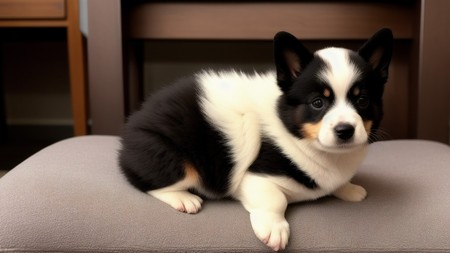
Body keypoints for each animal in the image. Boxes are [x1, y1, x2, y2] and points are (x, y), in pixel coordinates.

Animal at [119, 28, 394, 250]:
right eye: (318, 103)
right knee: (148, 183)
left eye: (362, 100)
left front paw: (349, 189)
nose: (345, 130)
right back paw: (183, 198)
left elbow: (338, 183)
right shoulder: (255, 178)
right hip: (171, 158)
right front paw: (274, 228)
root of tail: (131, 126)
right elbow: (276, 199)